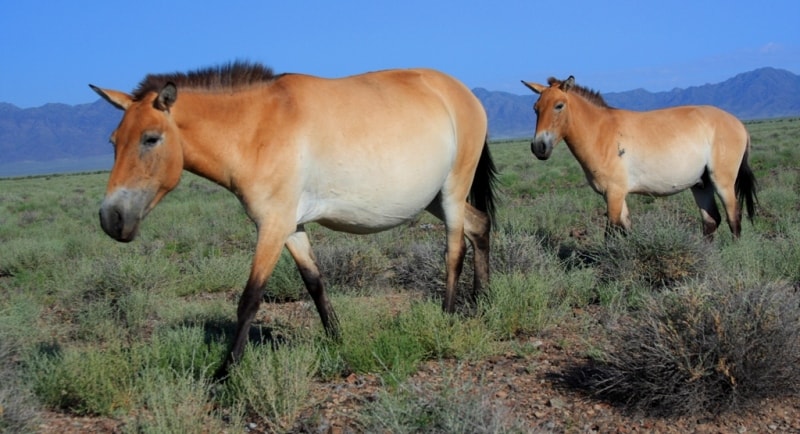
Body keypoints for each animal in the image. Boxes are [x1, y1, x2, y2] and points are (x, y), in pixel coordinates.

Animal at [90, 62, 496, 376]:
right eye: (113, 141)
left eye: (150, 138)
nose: (112, 218)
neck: (255, 129)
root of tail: (463, 94)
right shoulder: (291, 227)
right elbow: (314, 283)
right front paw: (336, 339)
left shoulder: (271, 225)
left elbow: (250, 298)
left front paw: (226, 373)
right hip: (434, 198)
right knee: (480, 226)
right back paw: (482, 303)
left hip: (452, 191)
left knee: (454, 251)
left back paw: (447, 316)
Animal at [520, 74, 756, 237]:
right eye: (535, 108)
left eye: (559, 106)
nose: (539, 147)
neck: (601, 133)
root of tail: (738, 124)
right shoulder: (614, 194)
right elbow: (625, 231)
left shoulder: (614, 194)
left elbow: (611, 233)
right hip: (701, 184)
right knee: (711, 221)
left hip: (722, 182)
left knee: (734, 218)